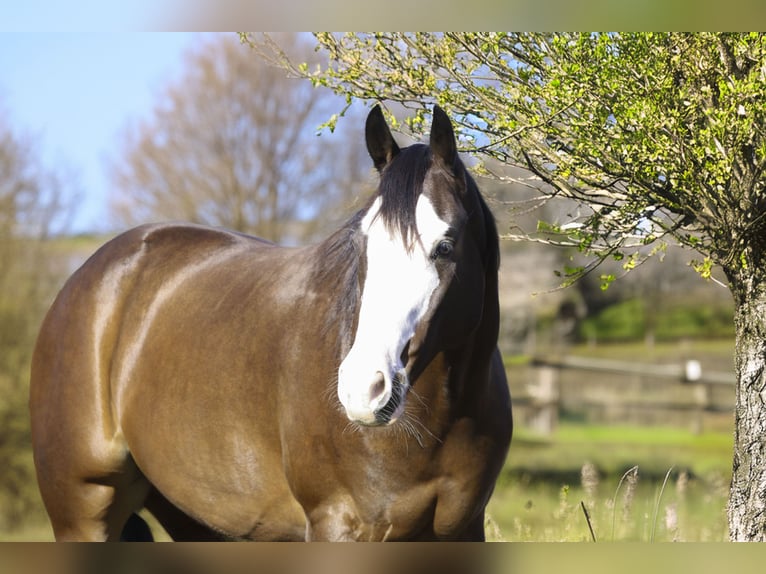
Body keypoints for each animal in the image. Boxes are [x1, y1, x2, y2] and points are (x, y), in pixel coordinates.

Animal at [29, 105, 512, 541]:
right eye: (362, 243)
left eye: (444, 246)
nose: (363, 390)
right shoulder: (338, 525)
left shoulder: (463, 529)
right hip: (83, 513)